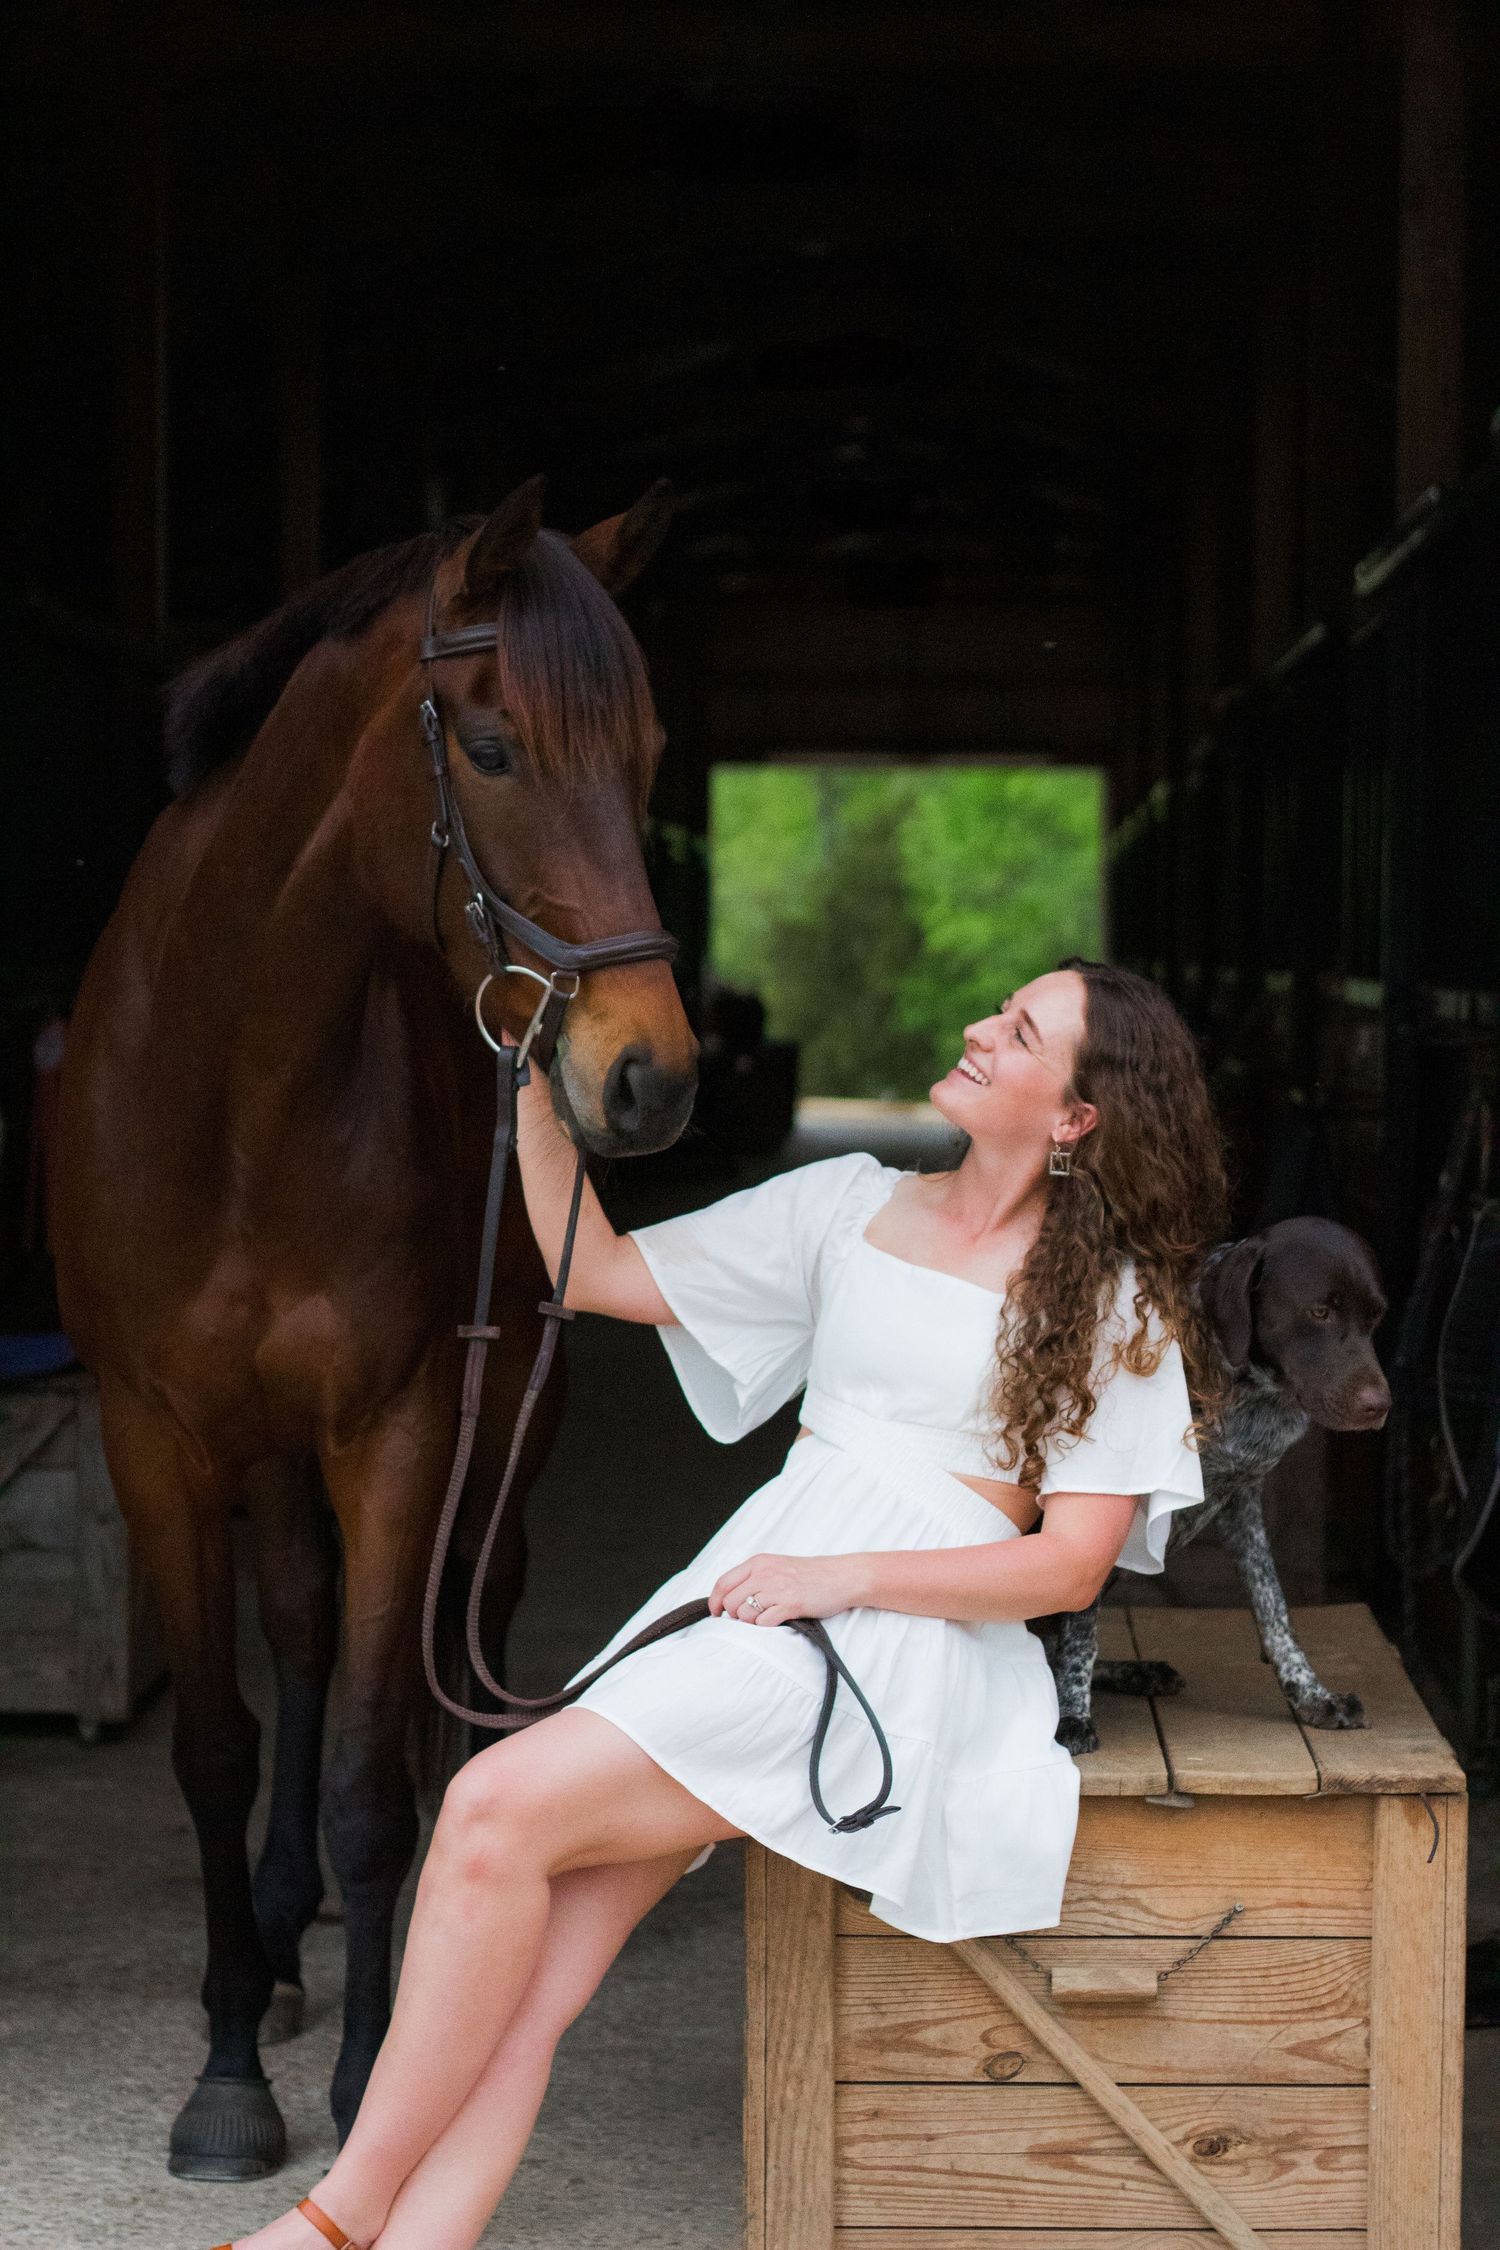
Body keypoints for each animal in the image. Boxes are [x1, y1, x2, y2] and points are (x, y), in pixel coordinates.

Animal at [50, 476, 697, 2176]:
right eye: (492, 746)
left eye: (648, 756)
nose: (651, 1075)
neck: (235, 1081)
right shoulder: (156, 1434)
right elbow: (219, 1746)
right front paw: (228, 2071)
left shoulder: (402, 1422)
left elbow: (364, 1768)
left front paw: (373, 2076)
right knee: (301, 1620)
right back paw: (280, 1937)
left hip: (507, 1410)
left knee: (454, 1638)